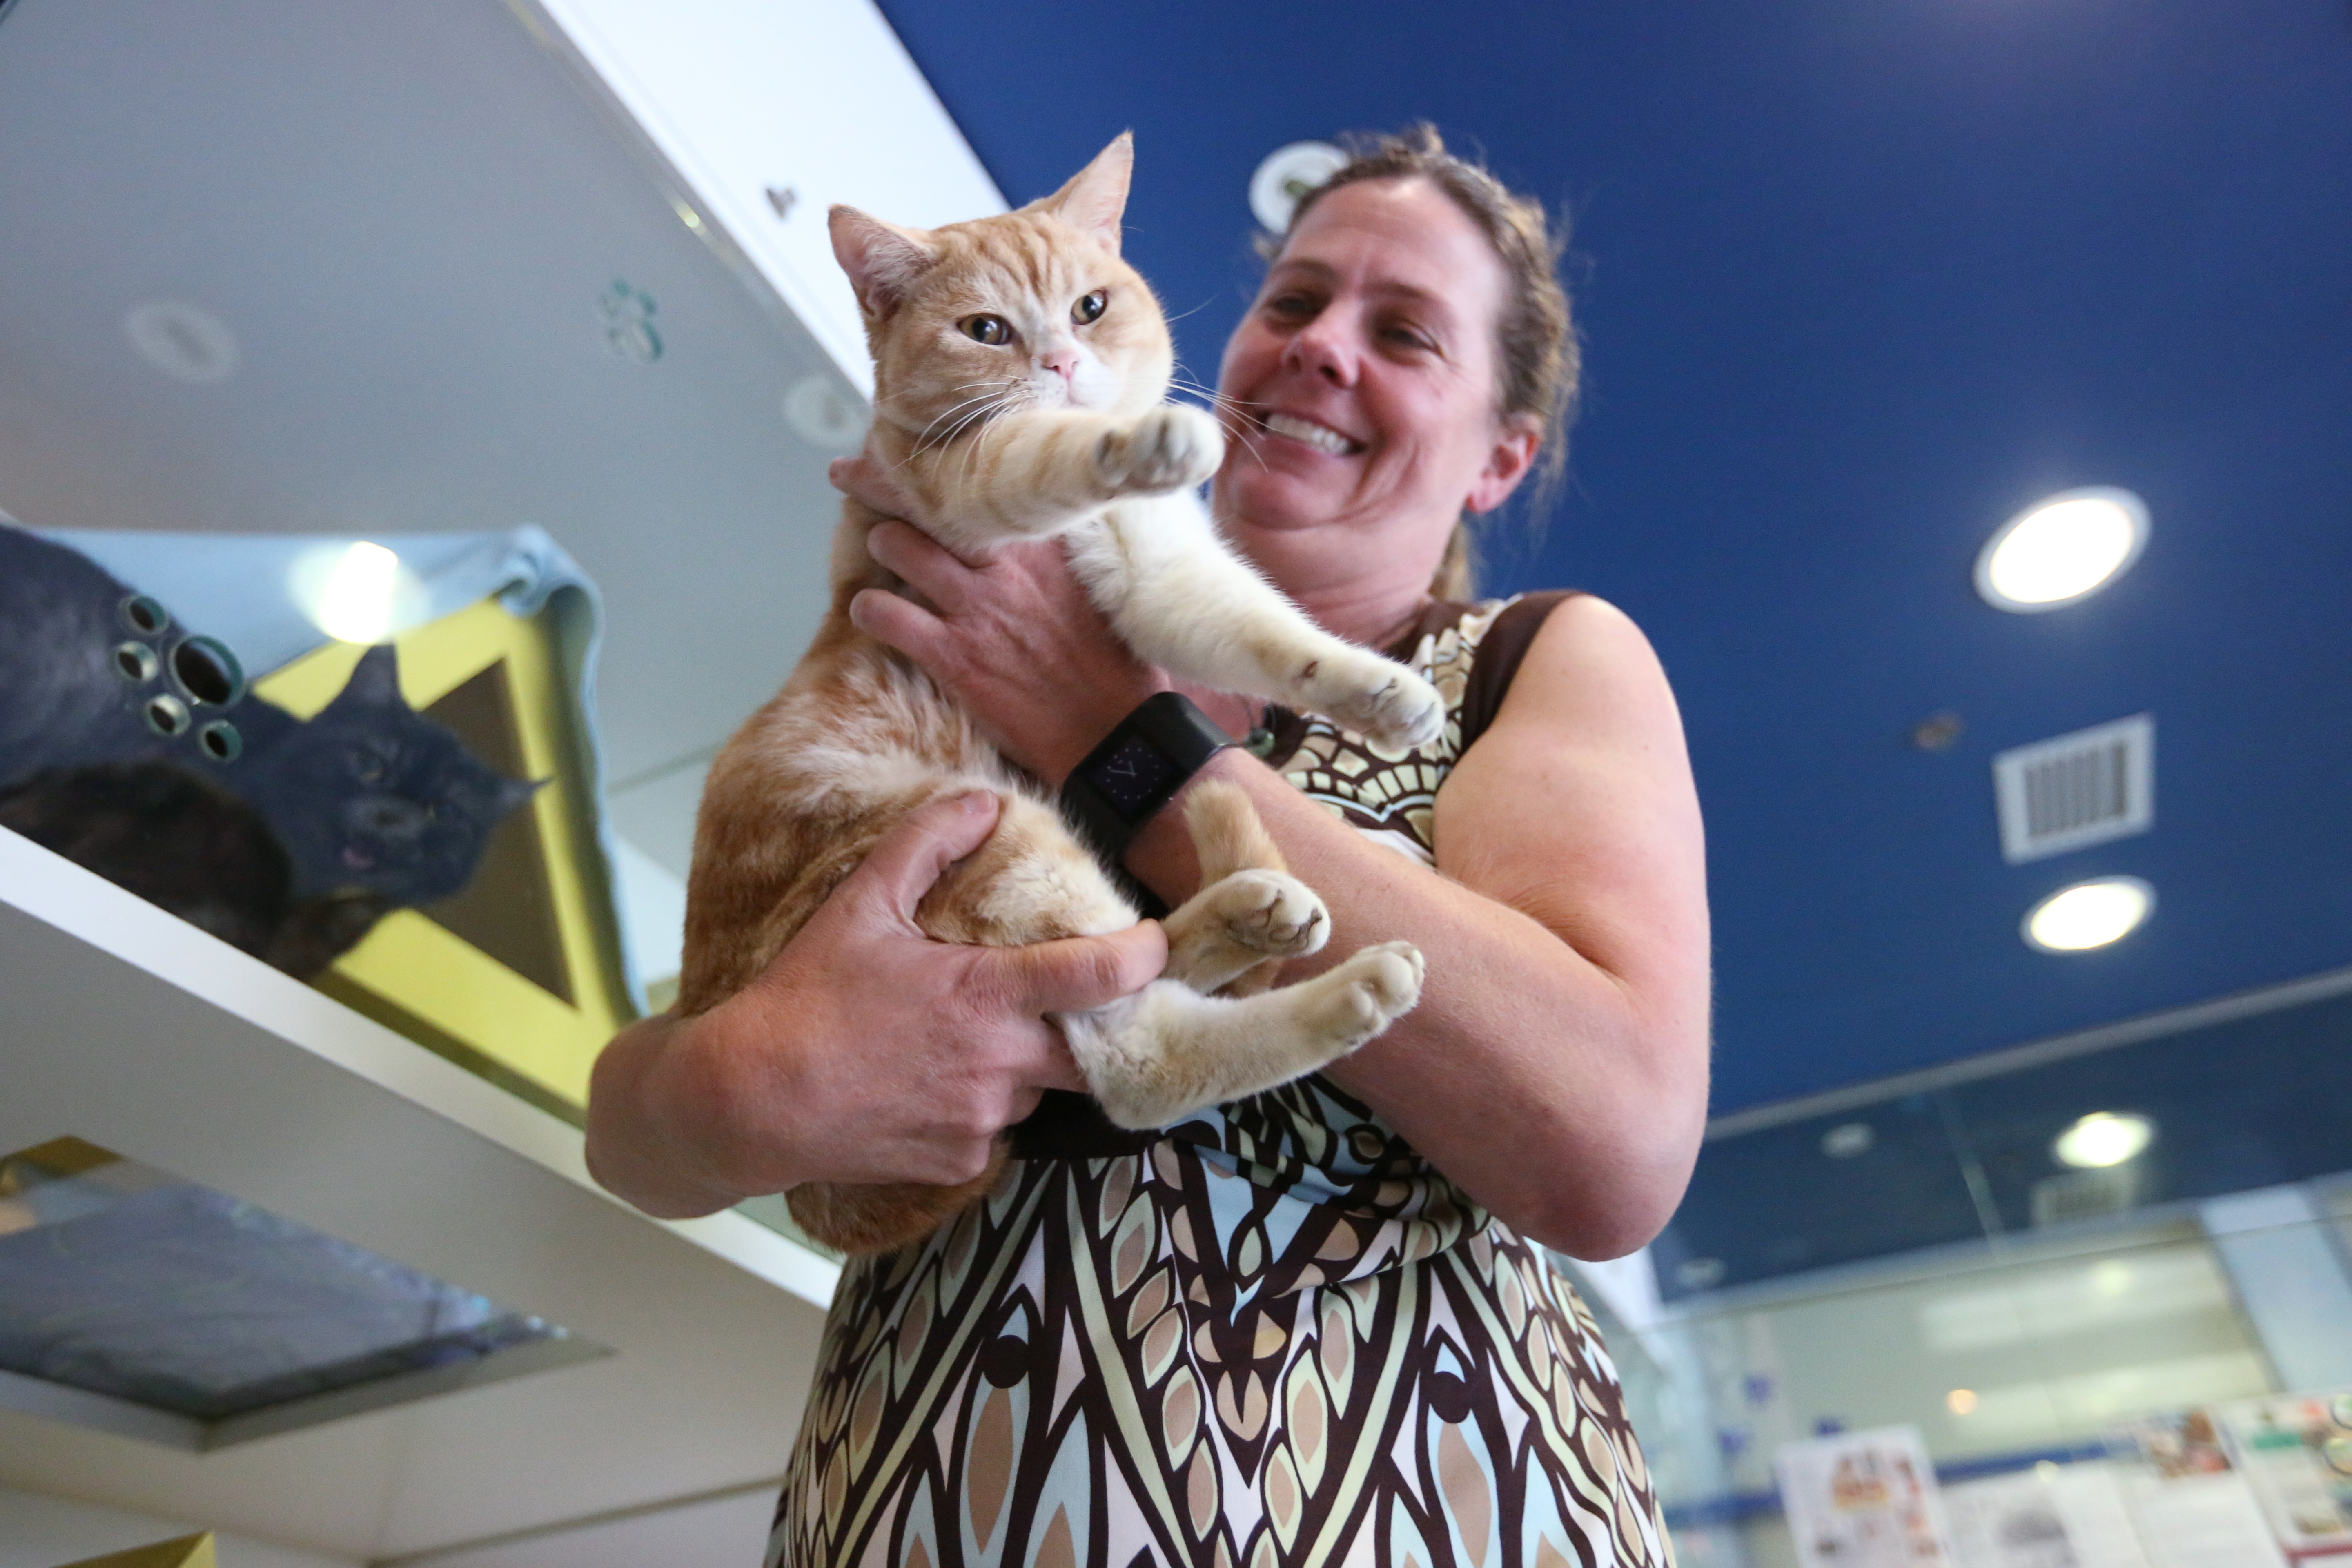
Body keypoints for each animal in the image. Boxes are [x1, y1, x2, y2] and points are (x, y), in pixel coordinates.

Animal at [682, 138, 1430, 1260]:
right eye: (986, 330)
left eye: (1089, 306)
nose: (1063, 365)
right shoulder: (965, 486)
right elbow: (1037, 452)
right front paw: (1139, 440)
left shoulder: (1164, 582)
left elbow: (1270, 633)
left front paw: (1381, 690)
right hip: (997, 833)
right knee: (1136, 1058)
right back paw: (1352, 989)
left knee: (1136, 960)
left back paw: (1255, 909)